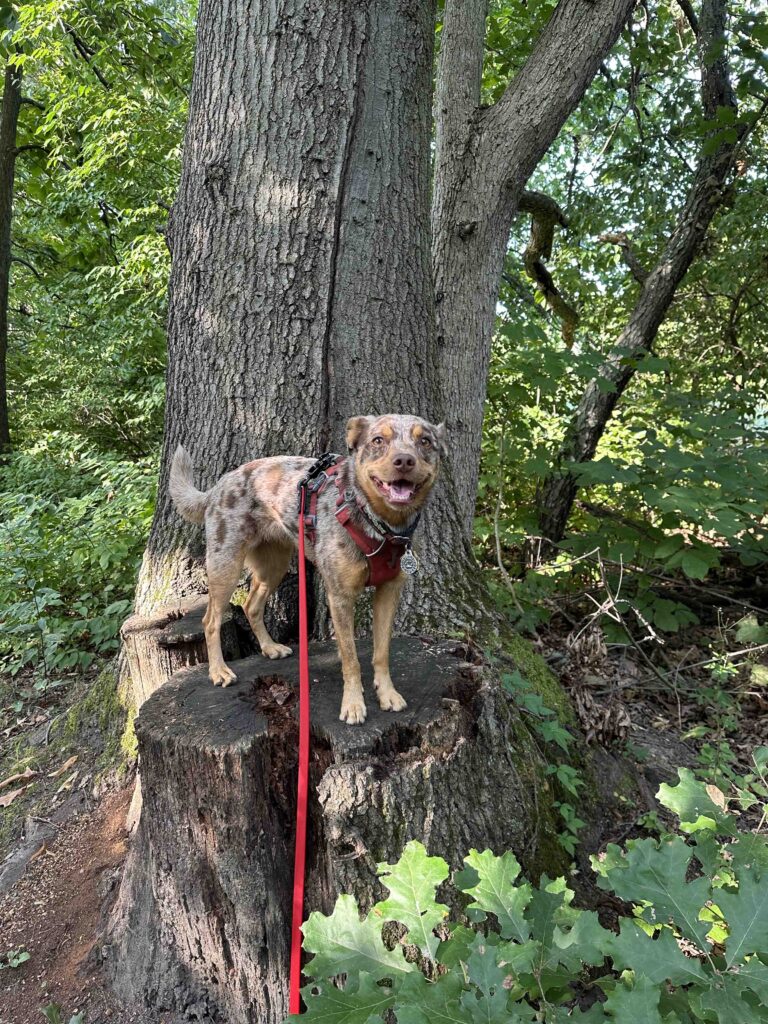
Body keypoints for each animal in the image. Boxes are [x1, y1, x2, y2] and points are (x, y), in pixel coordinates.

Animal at [169, 413, 444, 720]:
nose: (404, 460)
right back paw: (219, 671)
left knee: (252, 605)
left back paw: (270, 648)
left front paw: (387, 693)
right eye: (377, 440)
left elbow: (381, 652)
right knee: (210, 620)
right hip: (225, 564)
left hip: (273, 565)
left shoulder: (388, 592)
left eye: (425, 441)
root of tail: (218, 486)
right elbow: (350, 658)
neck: (379, 526)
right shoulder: (339, 597)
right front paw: (353, 704)